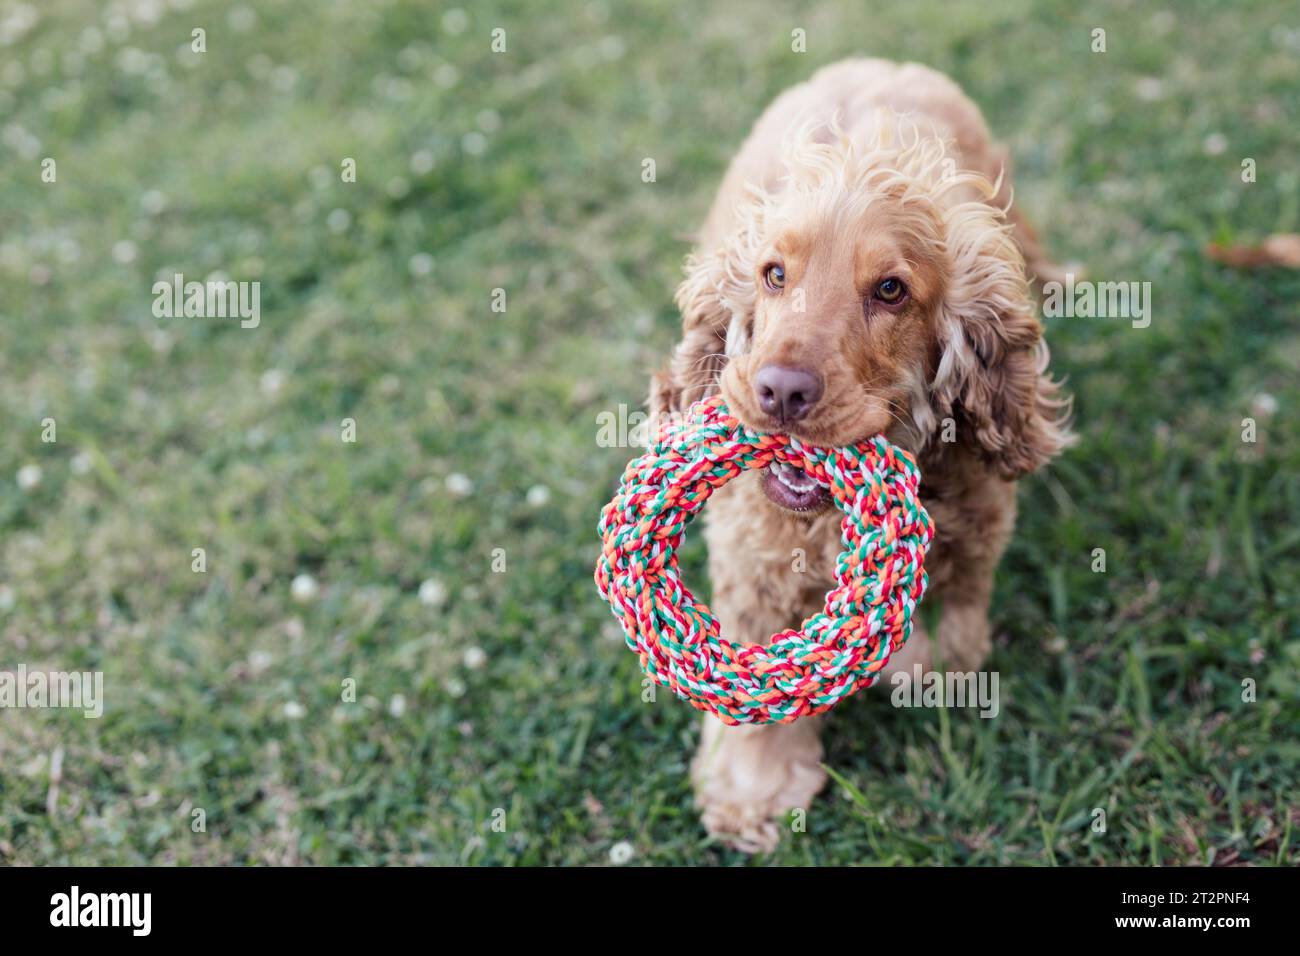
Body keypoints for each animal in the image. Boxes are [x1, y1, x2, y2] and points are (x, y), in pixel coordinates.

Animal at [644, 59, 1071, 853]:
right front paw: (752, 794)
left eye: (891, 290)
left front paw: (915, 665)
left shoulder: (975, 536)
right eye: (774, 274)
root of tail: (880, 63)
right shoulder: (754, 563)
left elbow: (952, 632)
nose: (780, 391)